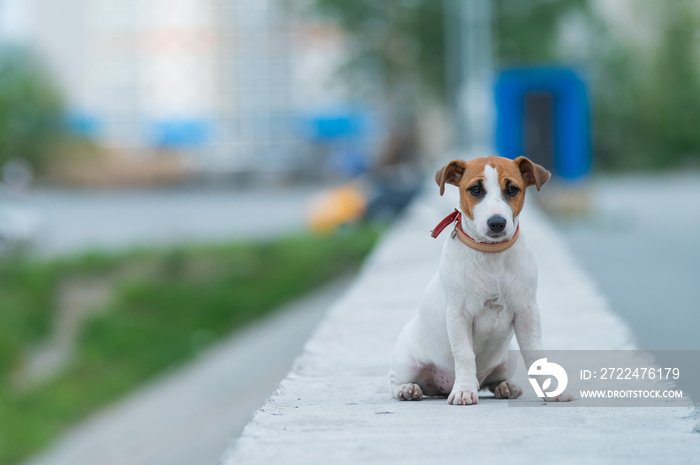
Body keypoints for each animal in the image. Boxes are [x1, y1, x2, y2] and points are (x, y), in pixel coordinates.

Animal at [388, 155, 576, 402]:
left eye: (512, 189)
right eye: (475, 189)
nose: (497, 223)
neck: (491, 254)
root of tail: (441, 387)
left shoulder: (527, 312)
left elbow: (536, 354)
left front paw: (552, 390)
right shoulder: (458, 315)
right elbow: (464, 354)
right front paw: (464, 390)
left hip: (507, 358)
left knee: (493, 380)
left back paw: (505, 387)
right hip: (407, 362)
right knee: (397, 380)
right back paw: (408, 389)